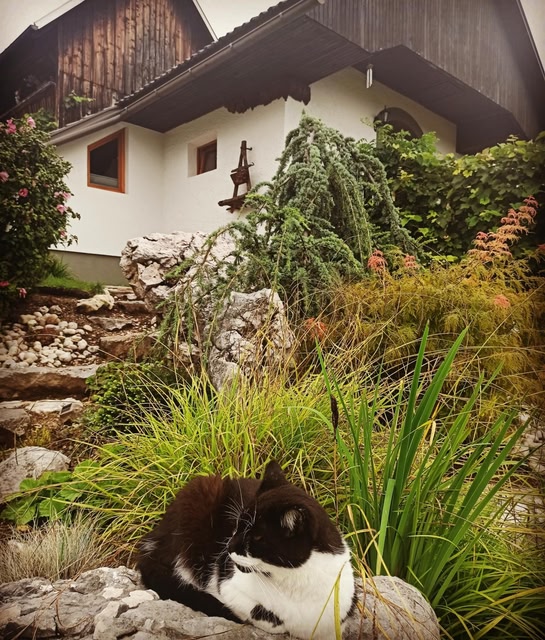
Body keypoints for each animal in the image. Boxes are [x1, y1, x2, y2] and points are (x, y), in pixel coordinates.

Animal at [137, 460, 357, 639]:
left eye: (257, 537)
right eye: (237, 526)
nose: (228, 547)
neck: (294, 582)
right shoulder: (229, 585)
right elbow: (264, 615)